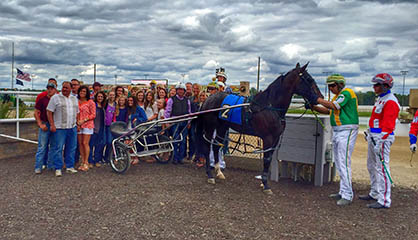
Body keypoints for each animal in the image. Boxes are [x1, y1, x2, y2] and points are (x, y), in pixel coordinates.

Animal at [196, 62, 324, 193]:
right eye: (309, 79)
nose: (321, 97)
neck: (269, 106)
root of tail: (208, 99)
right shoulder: (267, 138)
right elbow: (266, 159)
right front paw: (266, 185)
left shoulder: (275, 138)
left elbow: (269, 158)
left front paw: (263, 182)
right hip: (210, 126)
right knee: (207, 147)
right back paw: (210, 175)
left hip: (222, 127)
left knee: (216, 146)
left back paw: (219, 172)